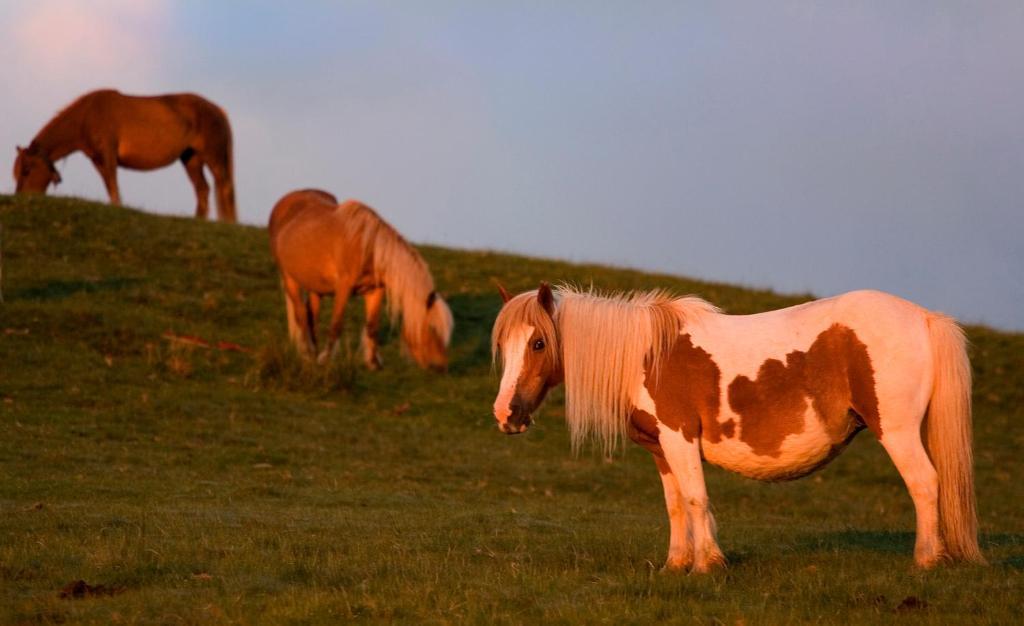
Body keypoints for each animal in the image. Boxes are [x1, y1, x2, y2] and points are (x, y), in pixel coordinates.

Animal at [13, 89, 237, 221]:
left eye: (26, 170)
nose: (21, 199)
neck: (88, 115)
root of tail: (217, 110)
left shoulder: (108, 154)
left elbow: (113, 183)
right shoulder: (97, 160)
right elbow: (108, 184)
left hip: (214, 157)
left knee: (224, 188)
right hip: (191, 158)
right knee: (203, 189)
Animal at [268, 188, 452, 368]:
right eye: (432, 328)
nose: (440, 366)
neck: (367, 246)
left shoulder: (375, 291)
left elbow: (372, 326)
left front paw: (373, 363)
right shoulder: (343, 287)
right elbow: (336, 324)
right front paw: (326, 359)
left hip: (315, 286)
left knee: (310, 315)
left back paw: (313, 351)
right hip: (289, 279)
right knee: (300, 314)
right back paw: (308, 353)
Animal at [493, 284, 983, 573]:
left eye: (538, 343)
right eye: (503, 344)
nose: (505, 413)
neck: (647, 356)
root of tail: (924, 317)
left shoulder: (679, 438)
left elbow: (696, 498)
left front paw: (708, 564)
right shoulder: (662, 449)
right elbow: (675, 505)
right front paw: (676, 565)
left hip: (896, 430)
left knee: (925, 483)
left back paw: (926, 560)